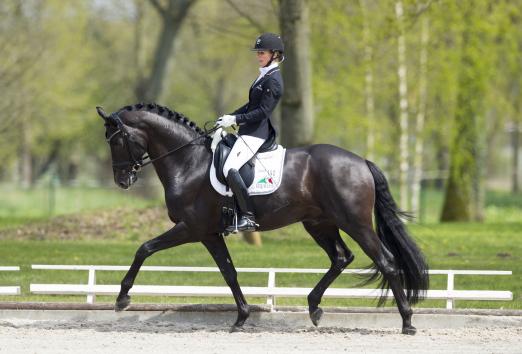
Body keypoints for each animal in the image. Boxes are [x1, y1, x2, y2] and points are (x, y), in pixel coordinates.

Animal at [96, 103, 426, 334]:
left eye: (116, 141)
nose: (122, 180)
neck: (188, 163)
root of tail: (361, 162)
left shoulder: (191, 228)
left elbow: (144, 249)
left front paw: (122, 298)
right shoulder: (209, 234)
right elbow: (229, 273)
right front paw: (241, 317)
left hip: (354, 222)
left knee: (386, 261)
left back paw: (407, 322)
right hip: (319, 223)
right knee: (341, 257)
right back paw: (314, 307)